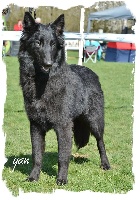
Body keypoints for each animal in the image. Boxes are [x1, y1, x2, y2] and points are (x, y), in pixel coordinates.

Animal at [18, 12, 110, 184]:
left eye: (53, 44)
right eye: (38, 43)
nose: (48, 64)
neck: (42, 82)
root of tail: (91, 72)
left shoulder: (63, 126)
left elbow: (62, 156)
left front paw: (61, 179)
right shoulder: (35, 126)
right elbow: (37, 155)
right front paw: (34, 176)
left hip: (95, 122)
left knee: (101, 143)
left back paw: (105, 164)